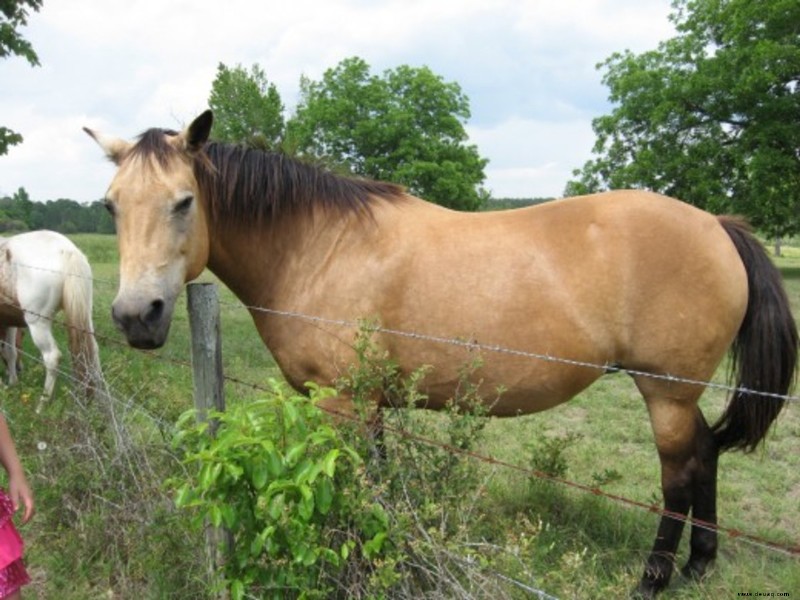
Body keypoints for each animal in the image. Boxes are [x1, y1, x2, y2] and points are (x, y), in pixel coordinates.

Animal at [0, 229, 104, 408]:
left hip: (38, 323)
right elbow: (10, 351)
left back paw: (42, 405)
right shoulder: (9, 322)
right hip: (85, 317)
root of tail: (67, 250)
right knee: (93, 354)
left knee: (52, 358)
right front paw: (12, 383)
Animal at [84, 111, 796, 596]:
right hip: (679, 392)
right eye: (111, 207)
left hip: (664, 391)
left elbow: (352, 491)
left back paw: (653, 578)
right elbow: (372, 489)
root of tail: (717, 226)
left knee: (679, 475)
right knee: (705, 456)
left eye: (184, 201)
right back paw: (700, 565)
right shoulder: (366, 405)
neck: (318, 246)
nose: (136, 317)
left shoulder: (344, 403)